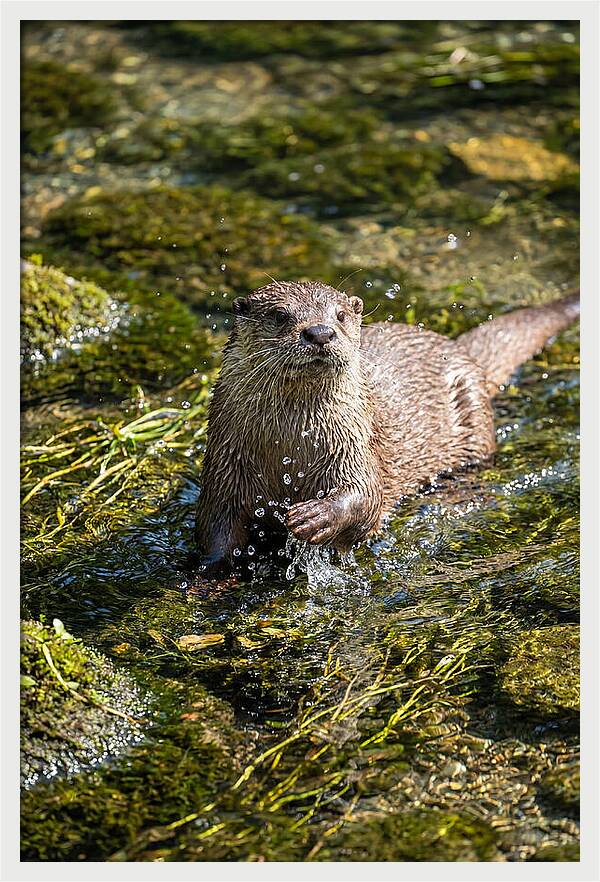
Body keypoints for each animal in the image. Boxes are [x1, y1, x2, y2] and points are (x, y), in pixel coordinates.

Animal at [194, 282, 579, 574]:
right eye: (279, 315)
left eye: (340, 315)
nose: (320, 332)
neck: (290, 449)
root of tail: (458, 349)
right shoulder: (224, 466)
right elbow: (215, 529)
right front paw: (209, 574)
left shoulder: (356, 445)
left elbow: (367, 496)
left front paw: (316, 516)